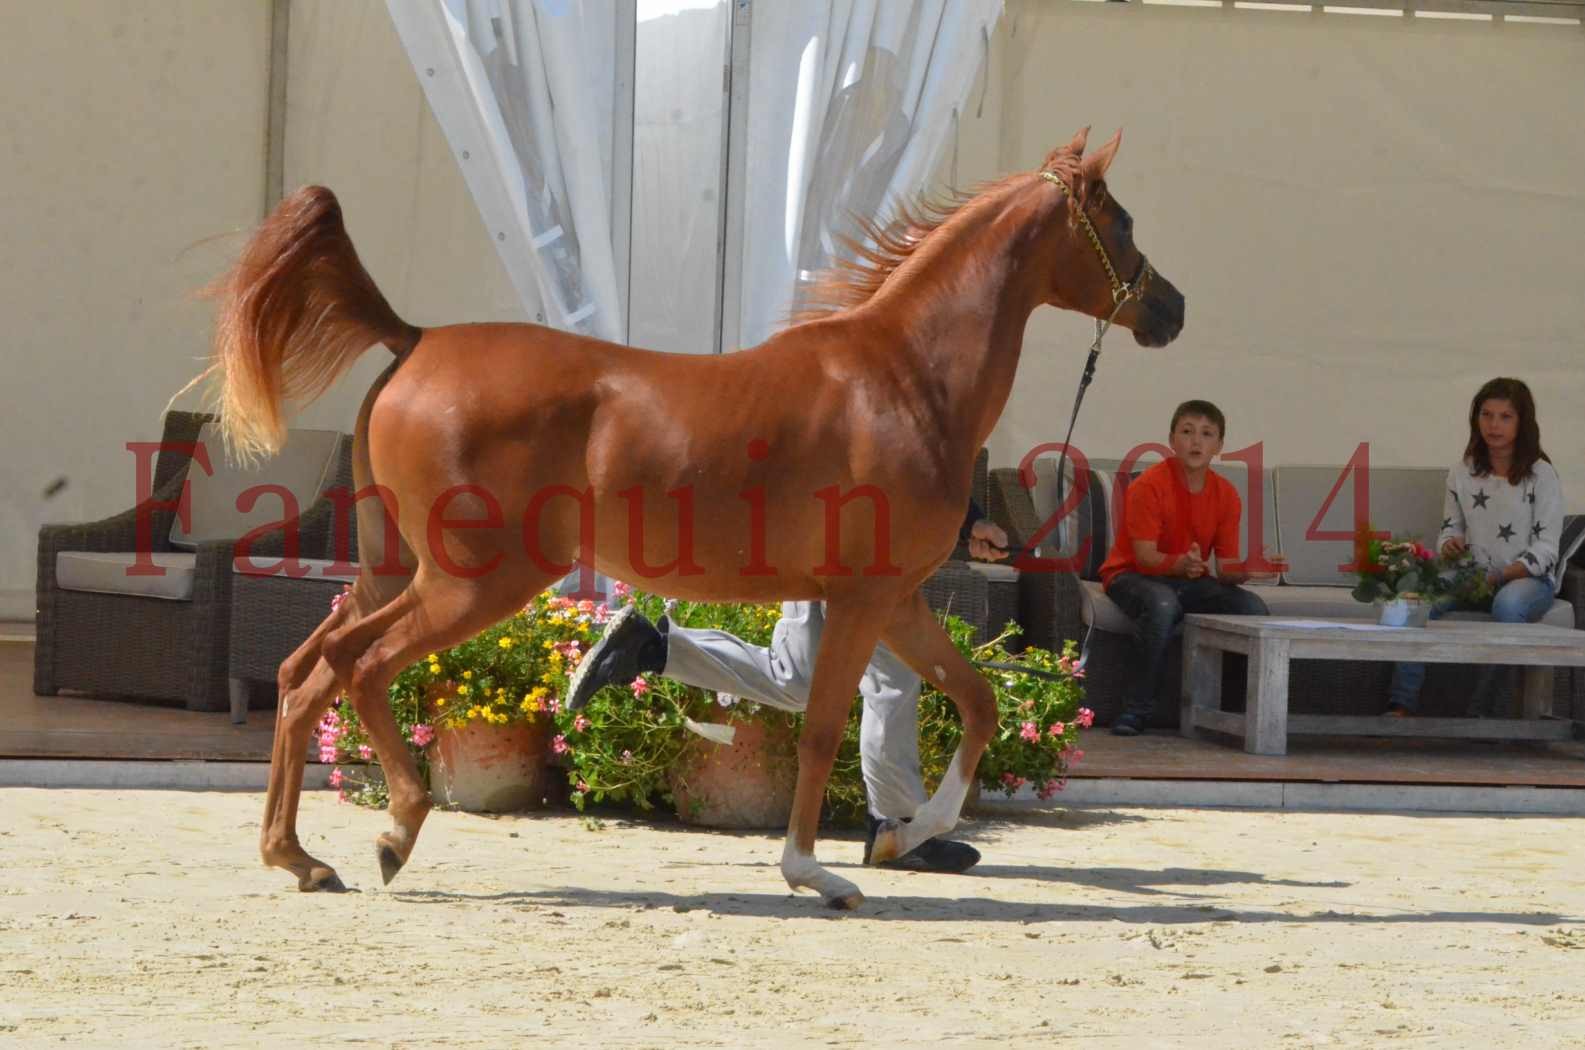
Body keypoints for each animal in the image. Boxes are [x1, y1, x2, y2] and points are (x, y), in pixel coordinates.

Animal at [194, 127, 1179, 907]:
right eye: (1123, 223)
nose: (1170, 308)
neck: (901, 380)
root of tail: (415, 340)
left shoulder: (895, 599)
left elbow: (975, 703)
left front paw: (905, 836)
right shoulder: (863, 602)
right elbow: (822, 730)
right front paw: (815, 872)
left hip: (393, 571)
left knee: (304, 672)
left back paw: (299, 859)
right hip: (473, 583)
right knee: (358, 668)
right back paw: (394, 834)